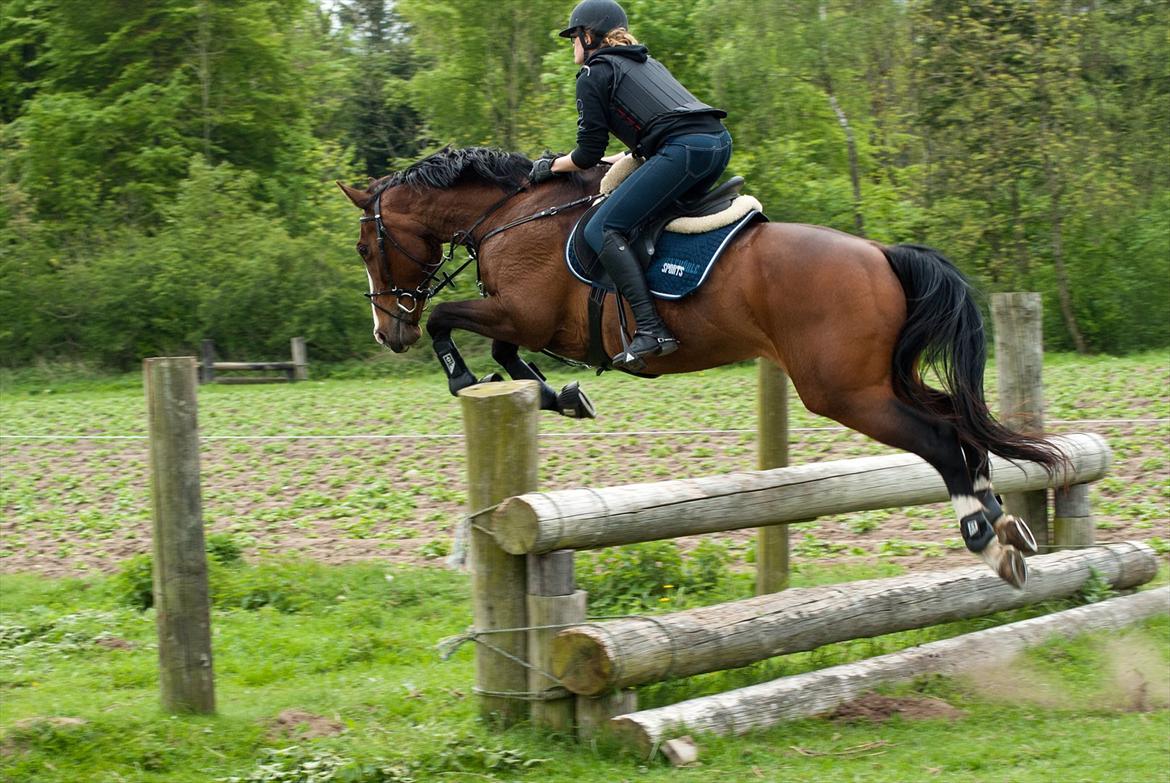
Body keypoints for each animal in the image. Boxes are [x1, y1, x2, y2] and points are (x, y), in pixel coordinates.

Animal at [334, 146, 1067, 585]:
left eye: (368, 246)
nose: (386, 331)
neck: (510, 214)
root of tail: (882, 254)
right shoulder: (525, 323)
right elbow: (510, 362)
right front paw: (561, 395)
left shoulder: (523, 314)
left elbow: (449, 322)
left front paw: (470, 380)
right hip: (881, 378)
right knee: (959, 422)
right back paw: (1002, 518)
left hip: (843, 391)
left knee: (940, 438)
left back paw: (984, 535)